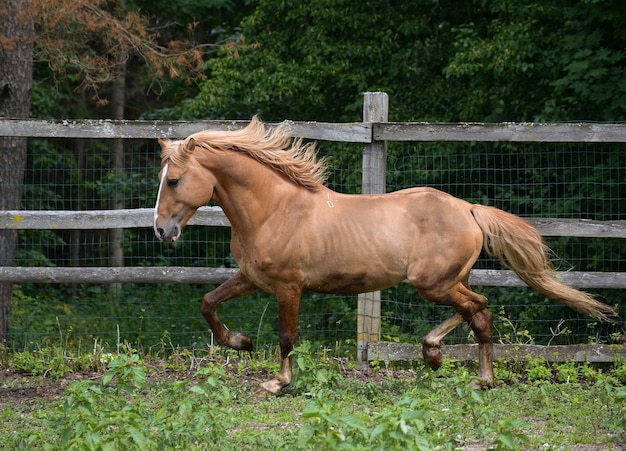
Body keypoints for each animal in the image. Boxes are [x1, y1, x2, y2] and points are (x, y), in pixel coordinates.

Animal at [155, 115, 616, 396]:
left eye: (174, 180)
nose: (161, 230)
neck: (274, 210)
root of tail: (468, 209)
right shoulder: (252, 277)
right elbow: (208, 303)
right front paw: (241, 342)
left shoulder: (289, 286)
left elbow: (287, 336)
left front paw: (278, 383)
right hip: (450, 280)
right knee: (479, 310)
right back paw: (452, 365)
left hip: (433, 283)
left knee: (478, 309)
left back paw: (460, 369)